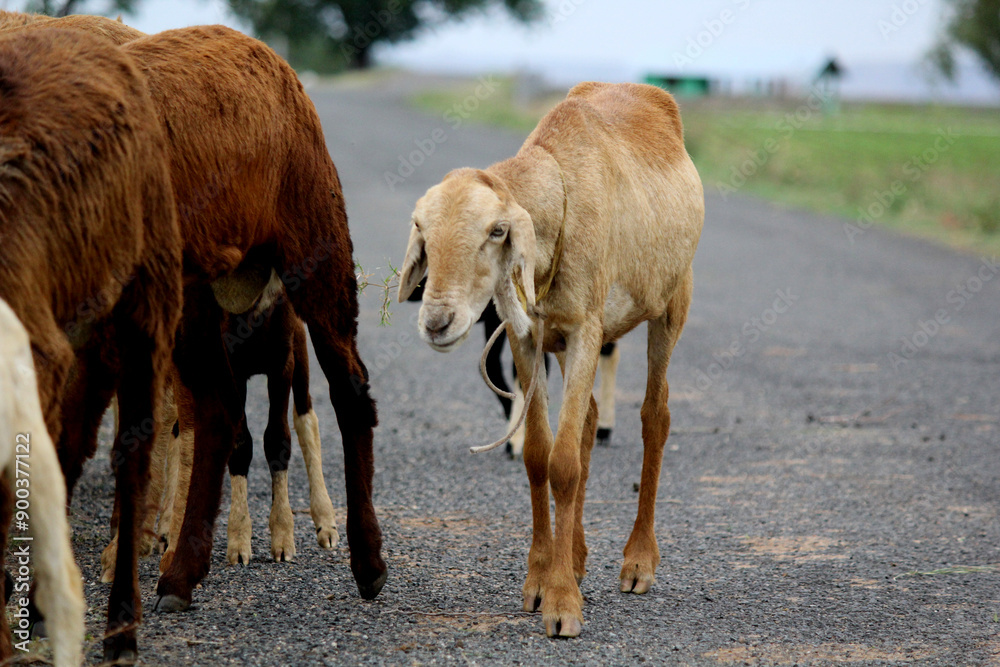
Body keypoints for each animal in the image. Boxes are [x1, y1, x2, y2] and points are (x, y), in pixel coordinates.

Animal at [398, 82, 704, 638]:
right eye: (422, 230)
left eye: (496, 231)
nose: (436, 322)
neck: (562, 197)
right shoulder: (528, 336)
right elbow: (541, 455)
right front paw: (541, 579)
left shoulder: (586, 331)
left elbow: (564, 465)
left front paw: (563, 604)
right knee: (587, 422)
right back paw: (577, 555)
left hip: (672, 305)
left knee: (655, 418)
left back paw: (638, 562)